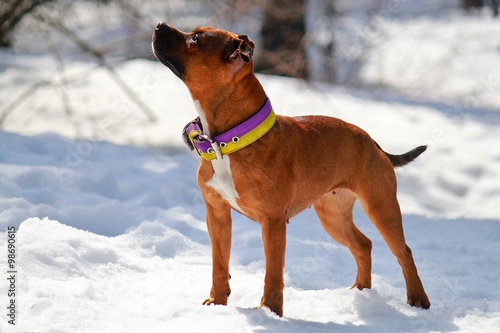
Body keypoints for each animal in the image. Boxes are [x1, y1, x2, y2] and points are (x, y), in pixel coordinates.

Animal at [152, 22, 430, 314]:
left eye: (195, 39)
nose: (160, 25)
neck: (229, 142)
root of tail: (371, 140)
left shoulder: (272, 222)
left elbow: (273, 272)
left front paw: (269, 311)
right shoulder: (216, 215)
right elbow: (220, 263)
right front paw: (217, 302)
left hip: (381, 207)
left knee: (403, 252)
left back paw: (417, 299)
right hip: (333, 216)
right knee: (363, 246)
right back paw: (361, 292)